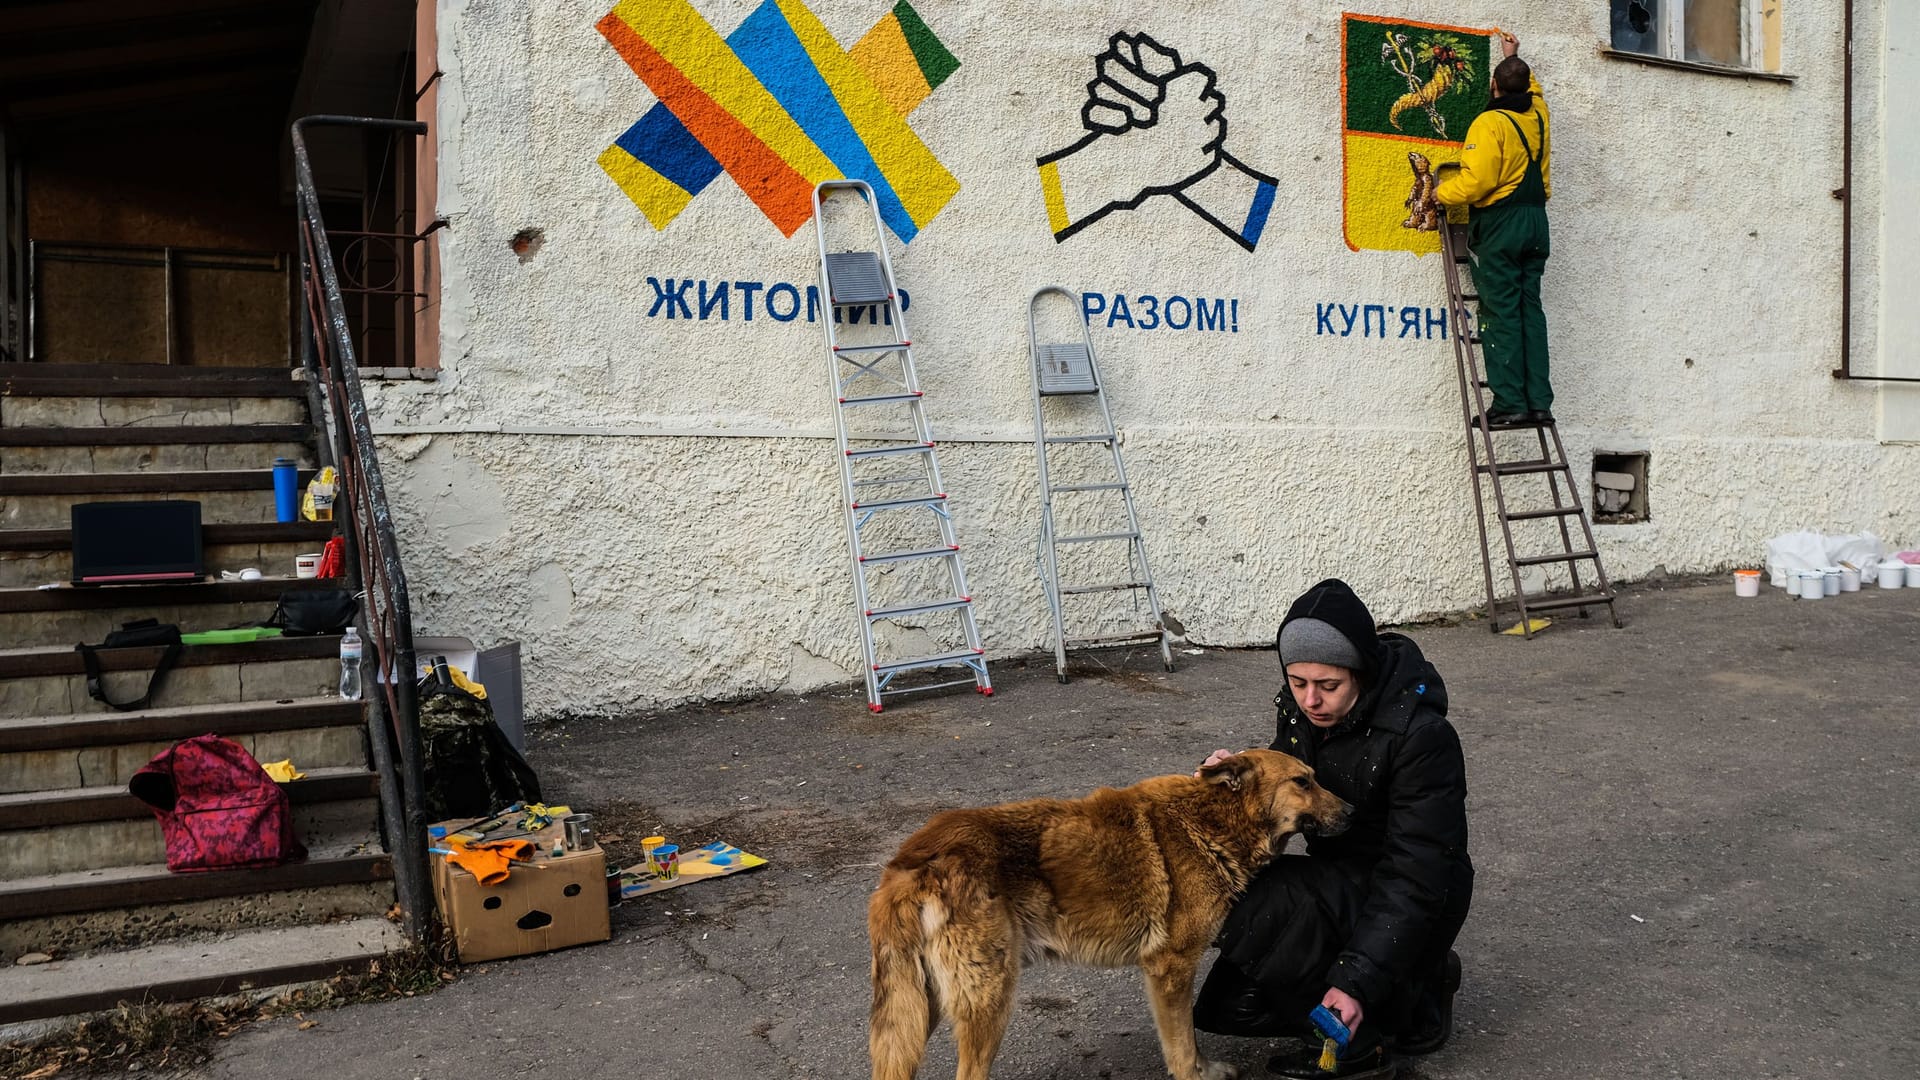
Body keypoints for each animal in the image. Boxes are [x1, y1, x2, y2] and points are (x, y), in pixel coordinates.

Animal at [871, 749, 1351, 1076]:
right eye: (1303, 781)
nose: (1352, 811)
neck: (1212, 821)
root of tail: (909, 861)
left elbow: (1192, 1044)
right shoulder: (1171, 970)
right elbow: (1182, 1047)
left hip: (921, 1007)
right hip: (987, 1002)